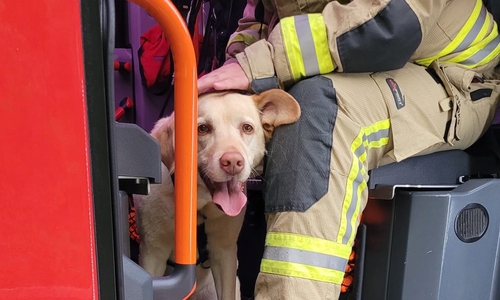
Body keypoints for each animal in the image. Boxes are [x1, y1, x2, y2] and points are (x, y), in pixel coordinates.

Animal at [133, 89, 300, 300]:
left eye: (247, 128)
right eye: (203, 128)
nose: (233, 162)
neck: (198, 206)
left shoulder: (224, 253)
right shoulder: (153, 252)